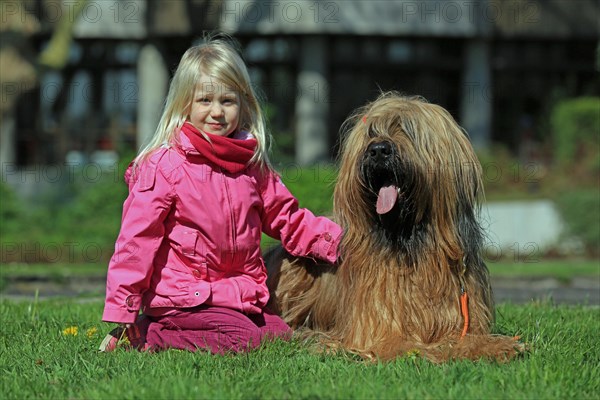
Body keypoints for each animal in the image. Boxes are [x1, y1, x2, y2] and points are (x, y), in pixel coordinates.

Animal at [268, 93, 524, 362]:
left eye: (407, 129)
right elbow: (427, 344)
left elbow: (465, 336)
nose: (378, 150)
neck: (410, 246)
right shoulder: (382, 331)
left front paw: (496, 344)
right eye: (370, 132)